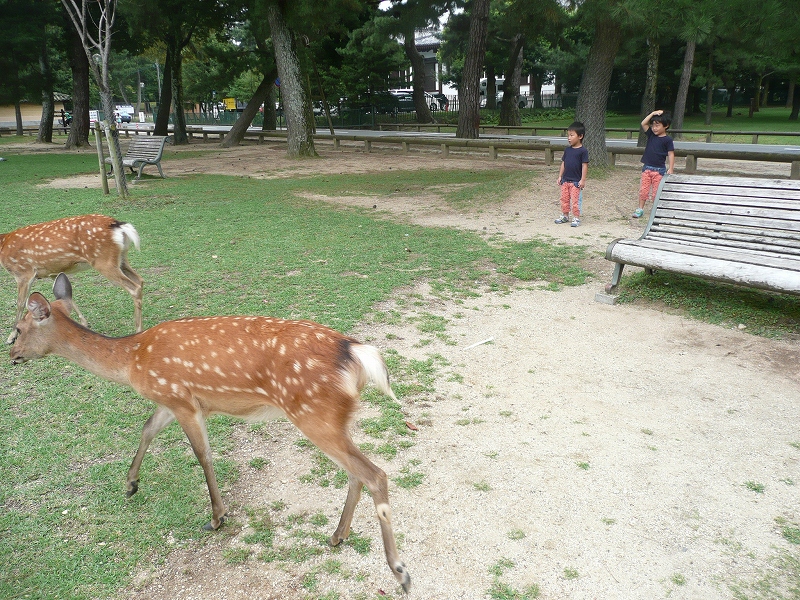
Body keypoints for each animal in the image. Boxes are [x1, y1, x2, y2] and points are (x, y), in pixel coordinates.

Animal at [0, 216, 142, 344]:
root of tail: (118, 225)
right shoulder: (53, 272)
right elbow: (65, 293)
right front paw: (84, 323)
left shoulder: (23, 272)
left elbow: (20, 303)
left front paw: (11, 336)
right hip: (121, 259)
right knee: (140, 280)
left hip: (104, 261)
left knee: (134, 288)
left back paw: (138, 331)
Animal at [10, 274, 412, 592]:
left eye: (17, 328)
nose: (11, 354)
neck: (131, 359)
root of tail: (358, 354)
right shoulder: (170, 400)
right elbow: (147, 429)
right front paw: (130, 484)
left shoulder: (181, 399)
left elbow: (202, 454)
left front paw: (217, 517)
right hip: (335, 418)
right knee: (357, 472)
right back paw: (337, 536)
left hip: (313, 413)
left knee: (374, 473)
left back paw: (399, 571)